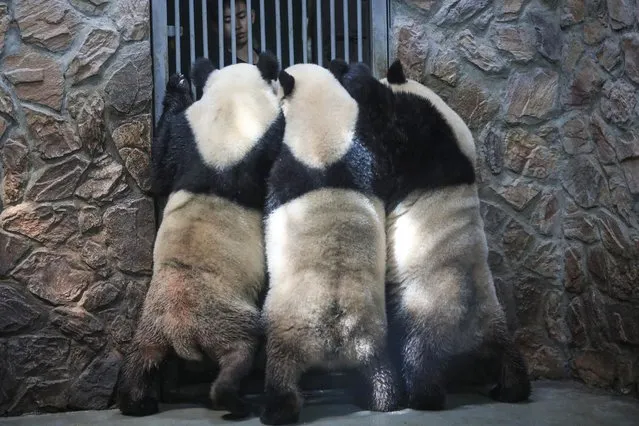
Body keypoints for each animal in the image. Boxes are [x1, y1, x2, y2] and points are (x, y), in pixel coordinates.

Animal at [115, 51, 284, 418]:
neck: (230, 114)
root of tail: (180, 333)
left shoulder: (189, 140)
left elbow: (160, 167)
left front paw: (179, 83)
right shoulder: (258, 149)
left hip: (151, 320)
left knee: (140, 358)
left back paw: (136, 401)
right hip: (223, 316)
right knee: (241, 349)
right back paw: (232, 400)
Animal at [260, 64, 400, 426]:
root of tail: (336, 335)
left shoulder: (285, 170)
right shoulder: (367, 155)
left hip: (290, 324)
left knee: (280, 365)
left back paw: (277, 409)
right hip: (371, 331)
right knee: (379, 368)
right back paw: (384, 398)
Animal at [328, 59, 532, 410]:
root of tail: (469, 330)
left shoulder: (421, 139)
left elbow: (385, 127)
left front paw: (352, 76)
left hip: (427, 305)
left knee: (419, 353)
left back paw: (423, 396)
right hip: (493, 319)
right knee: (508, 355)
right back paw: (510, 389)